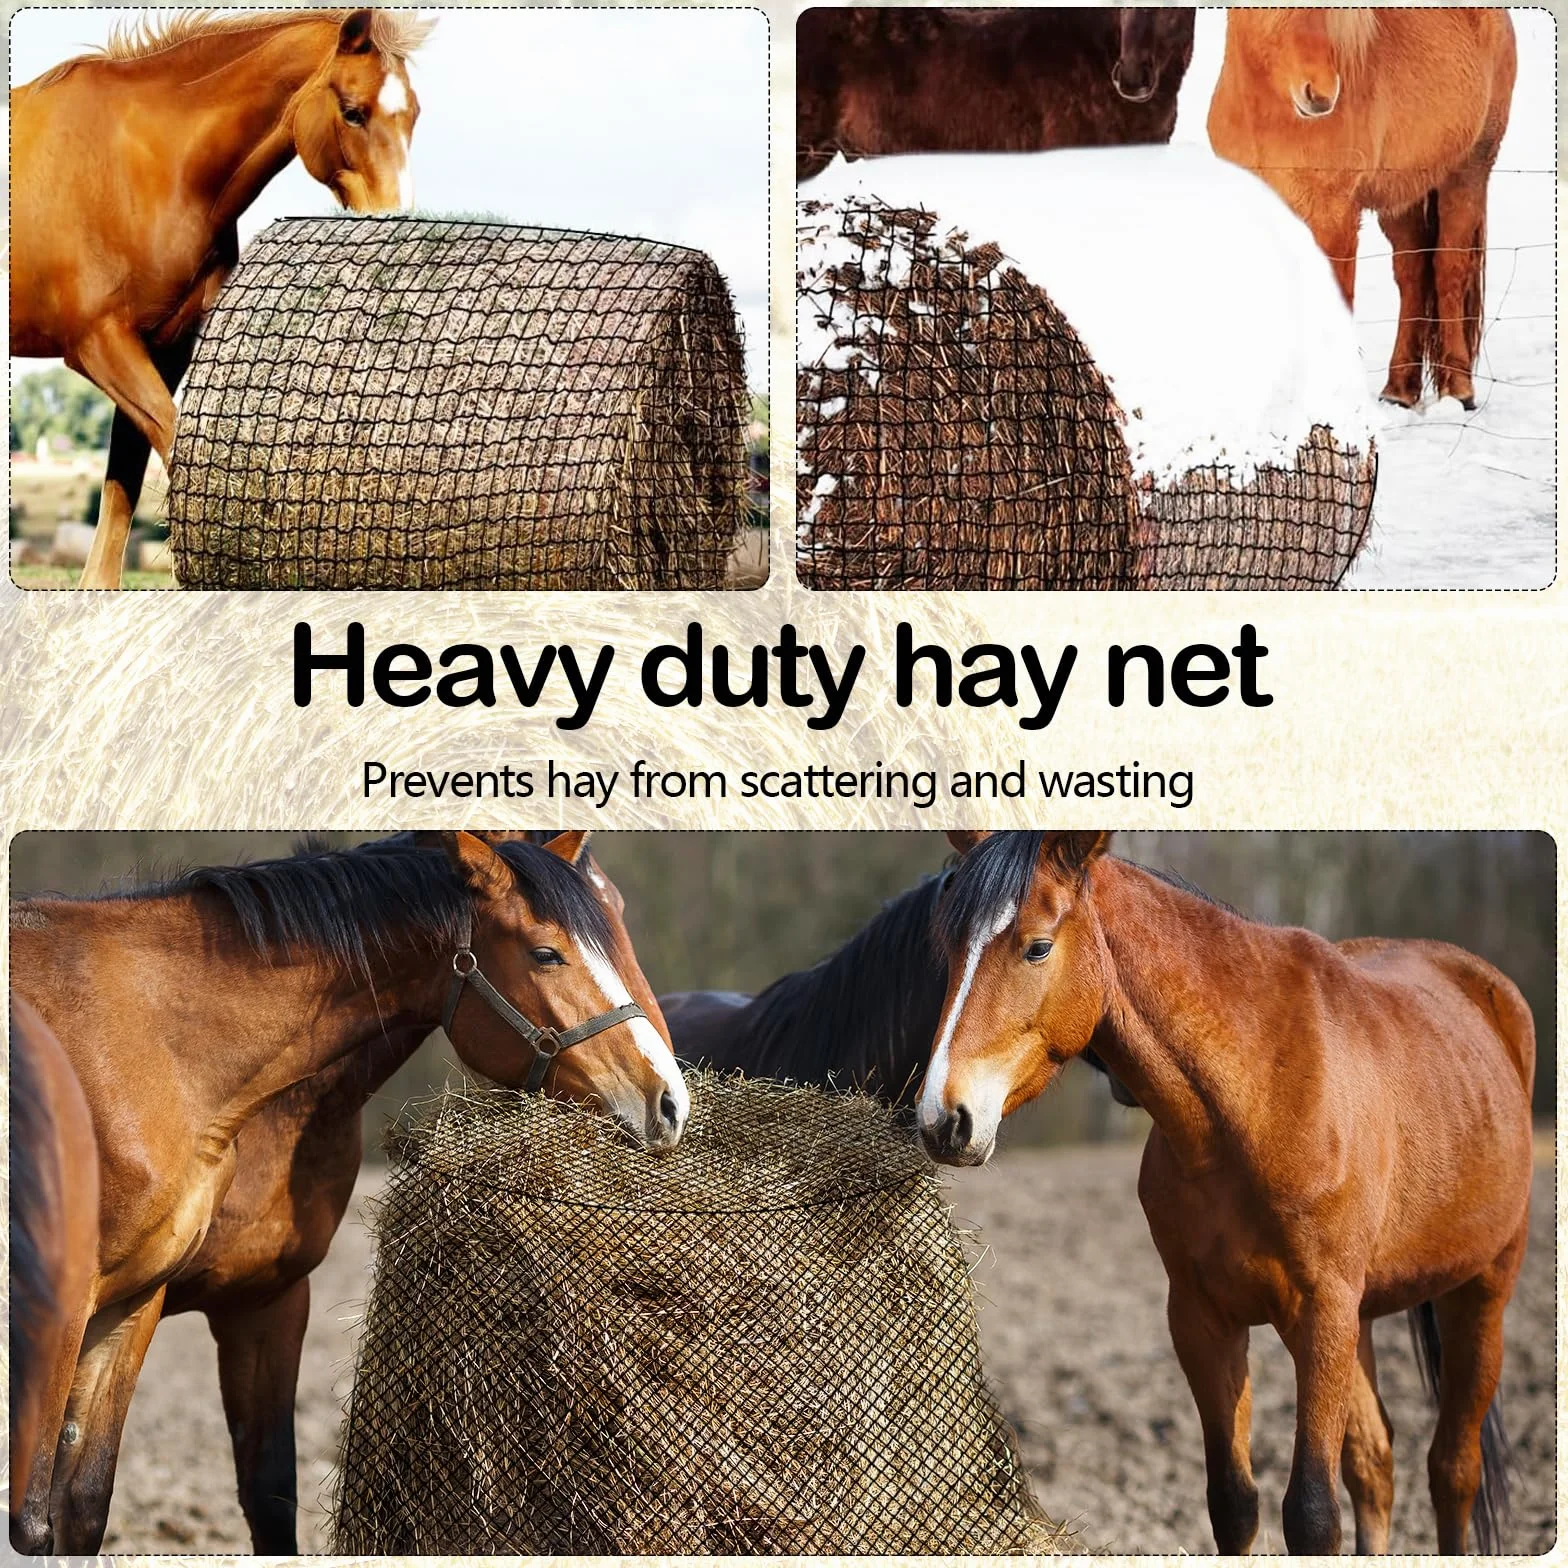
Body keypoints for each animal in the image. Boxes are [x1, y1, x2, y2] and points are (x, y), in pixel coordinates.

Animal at [8, 830, 685, 1554]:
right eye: (546, 953)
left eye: (615, 909)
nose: (668, 1098)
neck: (155, 1043)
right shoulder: (64, 1315)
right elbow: (31, 1520)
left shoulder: (215, 1302)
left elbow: (145, 1502)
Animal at [10, 8, 431, 589]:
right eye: (353, 112)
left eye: (413, 114)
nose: (396, 224)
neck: (150, 169)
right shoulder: (100, 345)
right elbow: (178, 448)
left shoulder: (164, 350)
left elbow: (123, 488)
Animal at [918, 830, 1535, 1555]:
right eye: (946, 948)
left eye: (1036, 946)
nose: (943, 1118)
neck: (1254, 1098)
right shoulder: (1203, 1321)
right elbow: (1234, 1504)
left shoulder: (1320, 1316)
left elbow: (1313, 1513)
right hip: (1362, 1318)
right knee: (1376, 1466)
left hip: (1480, 1290)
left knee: (1452, 1469)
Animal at [1207, 9, 1517, 409]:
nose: (1320, 95)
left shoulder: (1334, 215)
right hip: (1401, 198)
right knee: (1413, 273)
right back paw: (1399, 390)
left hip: (1467, 173)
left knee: (1448, 270)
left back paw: (1459, 389)